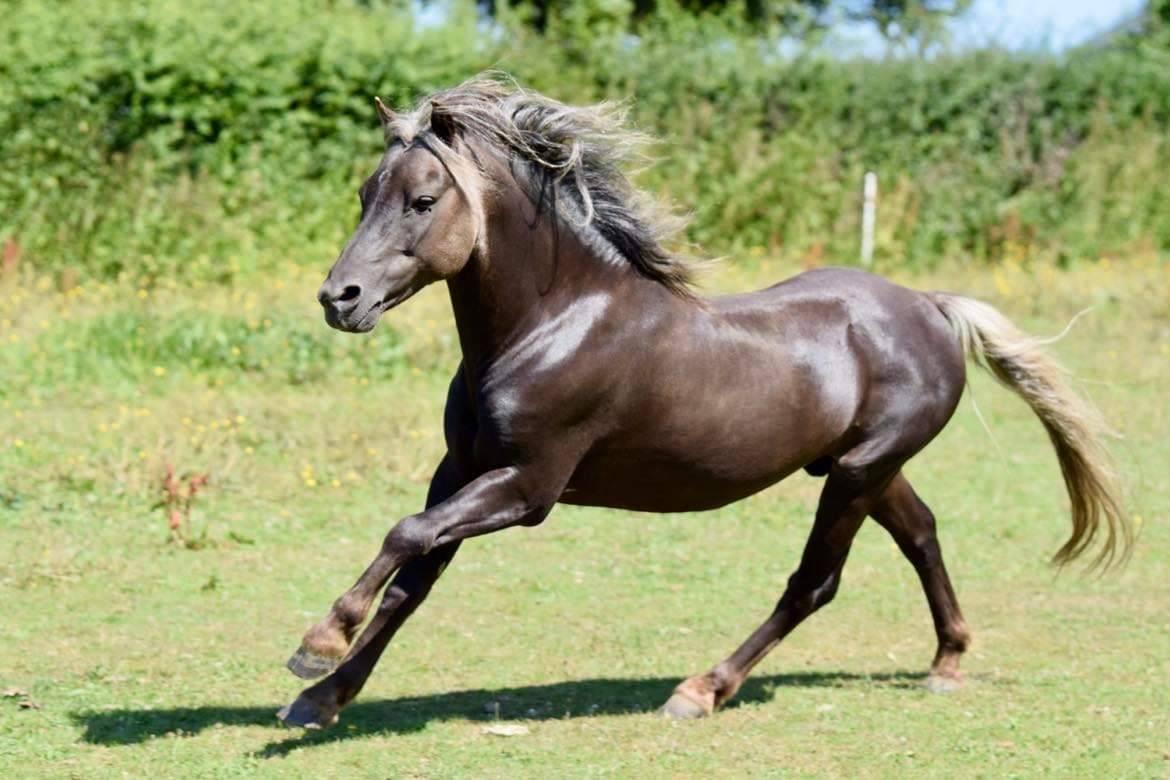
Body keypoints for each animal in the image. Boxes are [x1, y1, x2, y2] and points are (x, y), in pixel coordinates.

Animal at [277, 76, 1130, 729]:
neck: (552, 324)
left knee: (814, 583)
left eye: (423, 201)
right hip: (865, 468)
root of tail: (928, 305)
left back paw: (701, 690)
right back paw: (947, 662)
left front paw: (318, 643)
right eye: (365, 193)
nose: (338, 299)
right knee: (921, 534)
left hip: (860, 472)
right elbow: (412, 578)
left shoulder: (527, 487)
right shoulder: (460, 471)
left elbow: (404, 536)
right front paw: (323, 697)